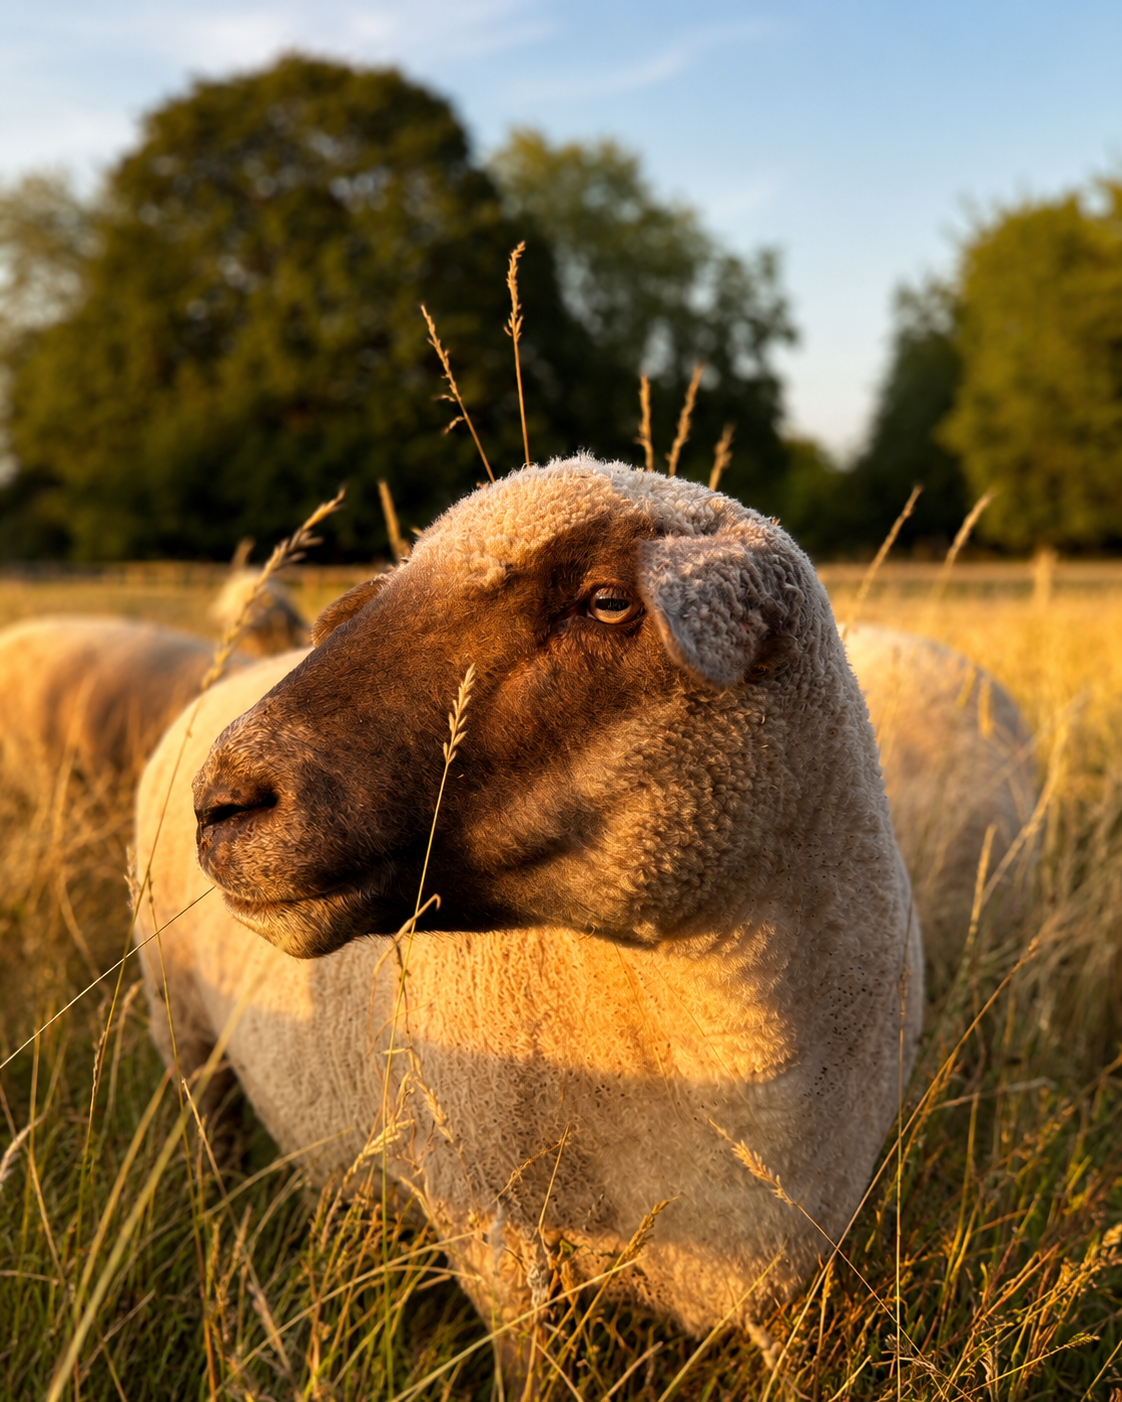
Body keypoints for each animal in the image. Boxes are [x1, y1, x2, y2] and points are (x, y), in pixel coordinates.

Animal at [135, 457, 923, 1377]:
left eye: (607, 602)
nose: (223, 801)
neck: (730, 1050)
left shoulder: (800, 1256)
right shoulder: (492, 1230)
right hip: (184, 1032)